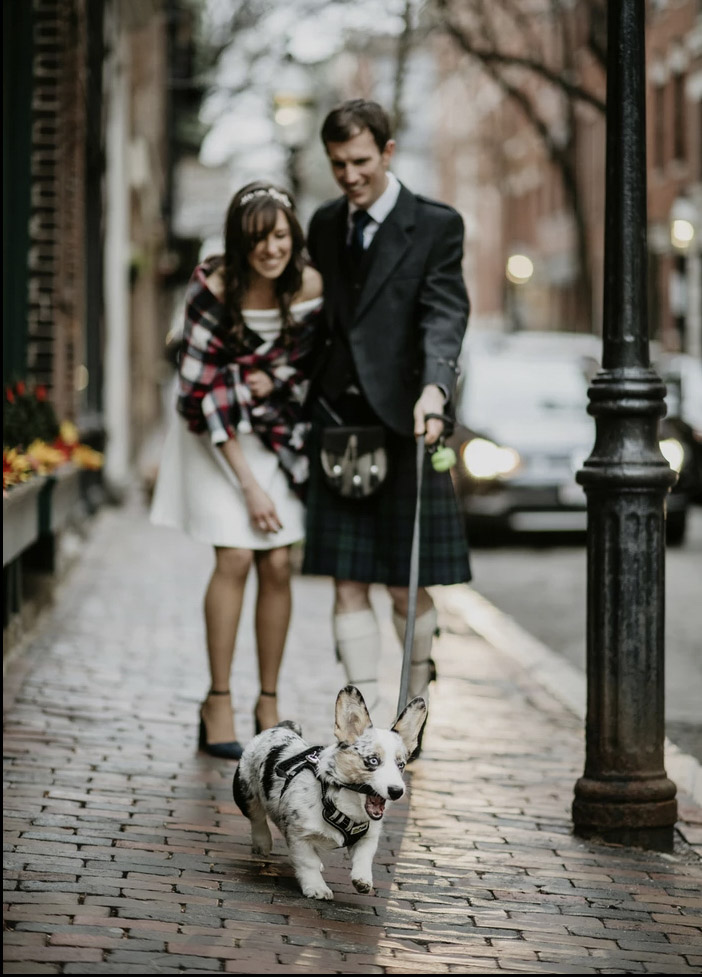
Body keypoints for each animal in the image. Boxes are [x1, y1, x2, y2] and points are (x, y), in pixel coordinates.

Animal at [234, 680, 426, 900]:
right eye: (372, 761)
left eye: (401, 765)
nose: (397, 791)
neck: (345, 805)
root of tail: (277, 728)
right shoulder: (300, 836)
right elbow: (307, 862)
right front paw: (317, 888)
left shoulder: (368, 838)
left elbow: (364, 858)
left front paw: (362, 881)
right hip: (245, 792)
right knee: (256, 817)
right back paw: (262, 844)